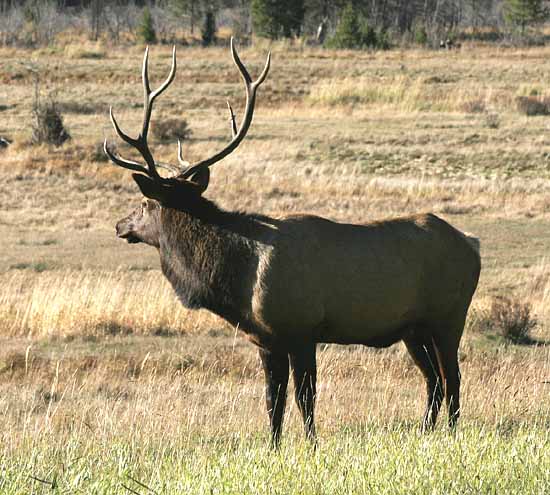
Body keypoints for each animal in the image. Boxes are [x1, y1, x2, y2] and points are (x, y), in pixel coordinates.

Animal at [104, 39, 484, 446]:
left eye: (145, 203)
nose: (119, 225)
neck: (240, 281)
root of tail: (472, 244)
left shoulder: (302, 329)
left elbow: (305, 398)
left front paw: (311, 445)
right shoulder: (266, 340)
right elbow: (273, 401)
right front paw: (273, 447)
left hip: (448, 315)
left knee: (451, 377)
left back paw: (450, 434)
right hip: (414, 328)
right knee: (433, 380)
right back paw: (426, 432)